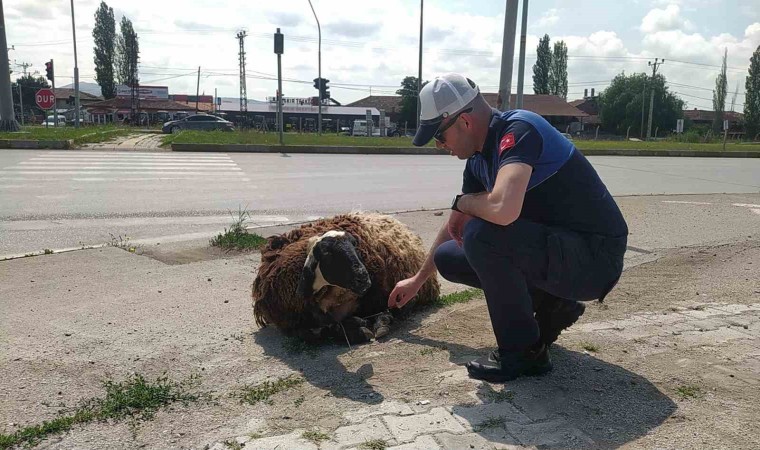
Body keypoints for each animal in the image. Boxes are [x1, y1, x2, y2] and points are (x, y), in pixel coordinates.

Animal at [252, 213, 440, 342]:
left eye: (355, 245)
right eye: (327, 254)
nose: (364, 278)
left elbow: (394, 309)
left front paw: (379, 324)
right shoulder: (293, 323)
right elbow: (315, 332)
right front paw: (356, 328)